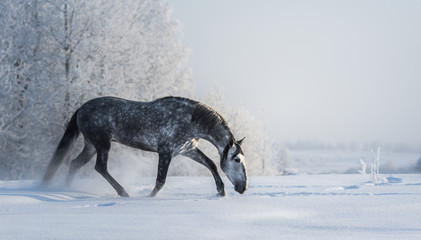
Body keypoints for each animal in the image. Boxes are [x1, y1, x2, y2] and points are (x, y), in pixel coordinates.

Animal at [41, 95, 248, 197]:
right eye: (237, 159)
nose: (243, 187)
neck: (191, 121)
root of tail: (81, 109)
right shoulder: (165, 152)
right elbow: (160, 180)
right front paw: (149, 197)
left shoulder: (187, 151)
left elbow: (211, 164)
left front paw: (221, 192)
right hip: (102, 143)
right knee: (100, 167)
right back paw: (123, 192)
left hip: (91, 145)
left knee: (75, 164)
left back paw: (65, 189)